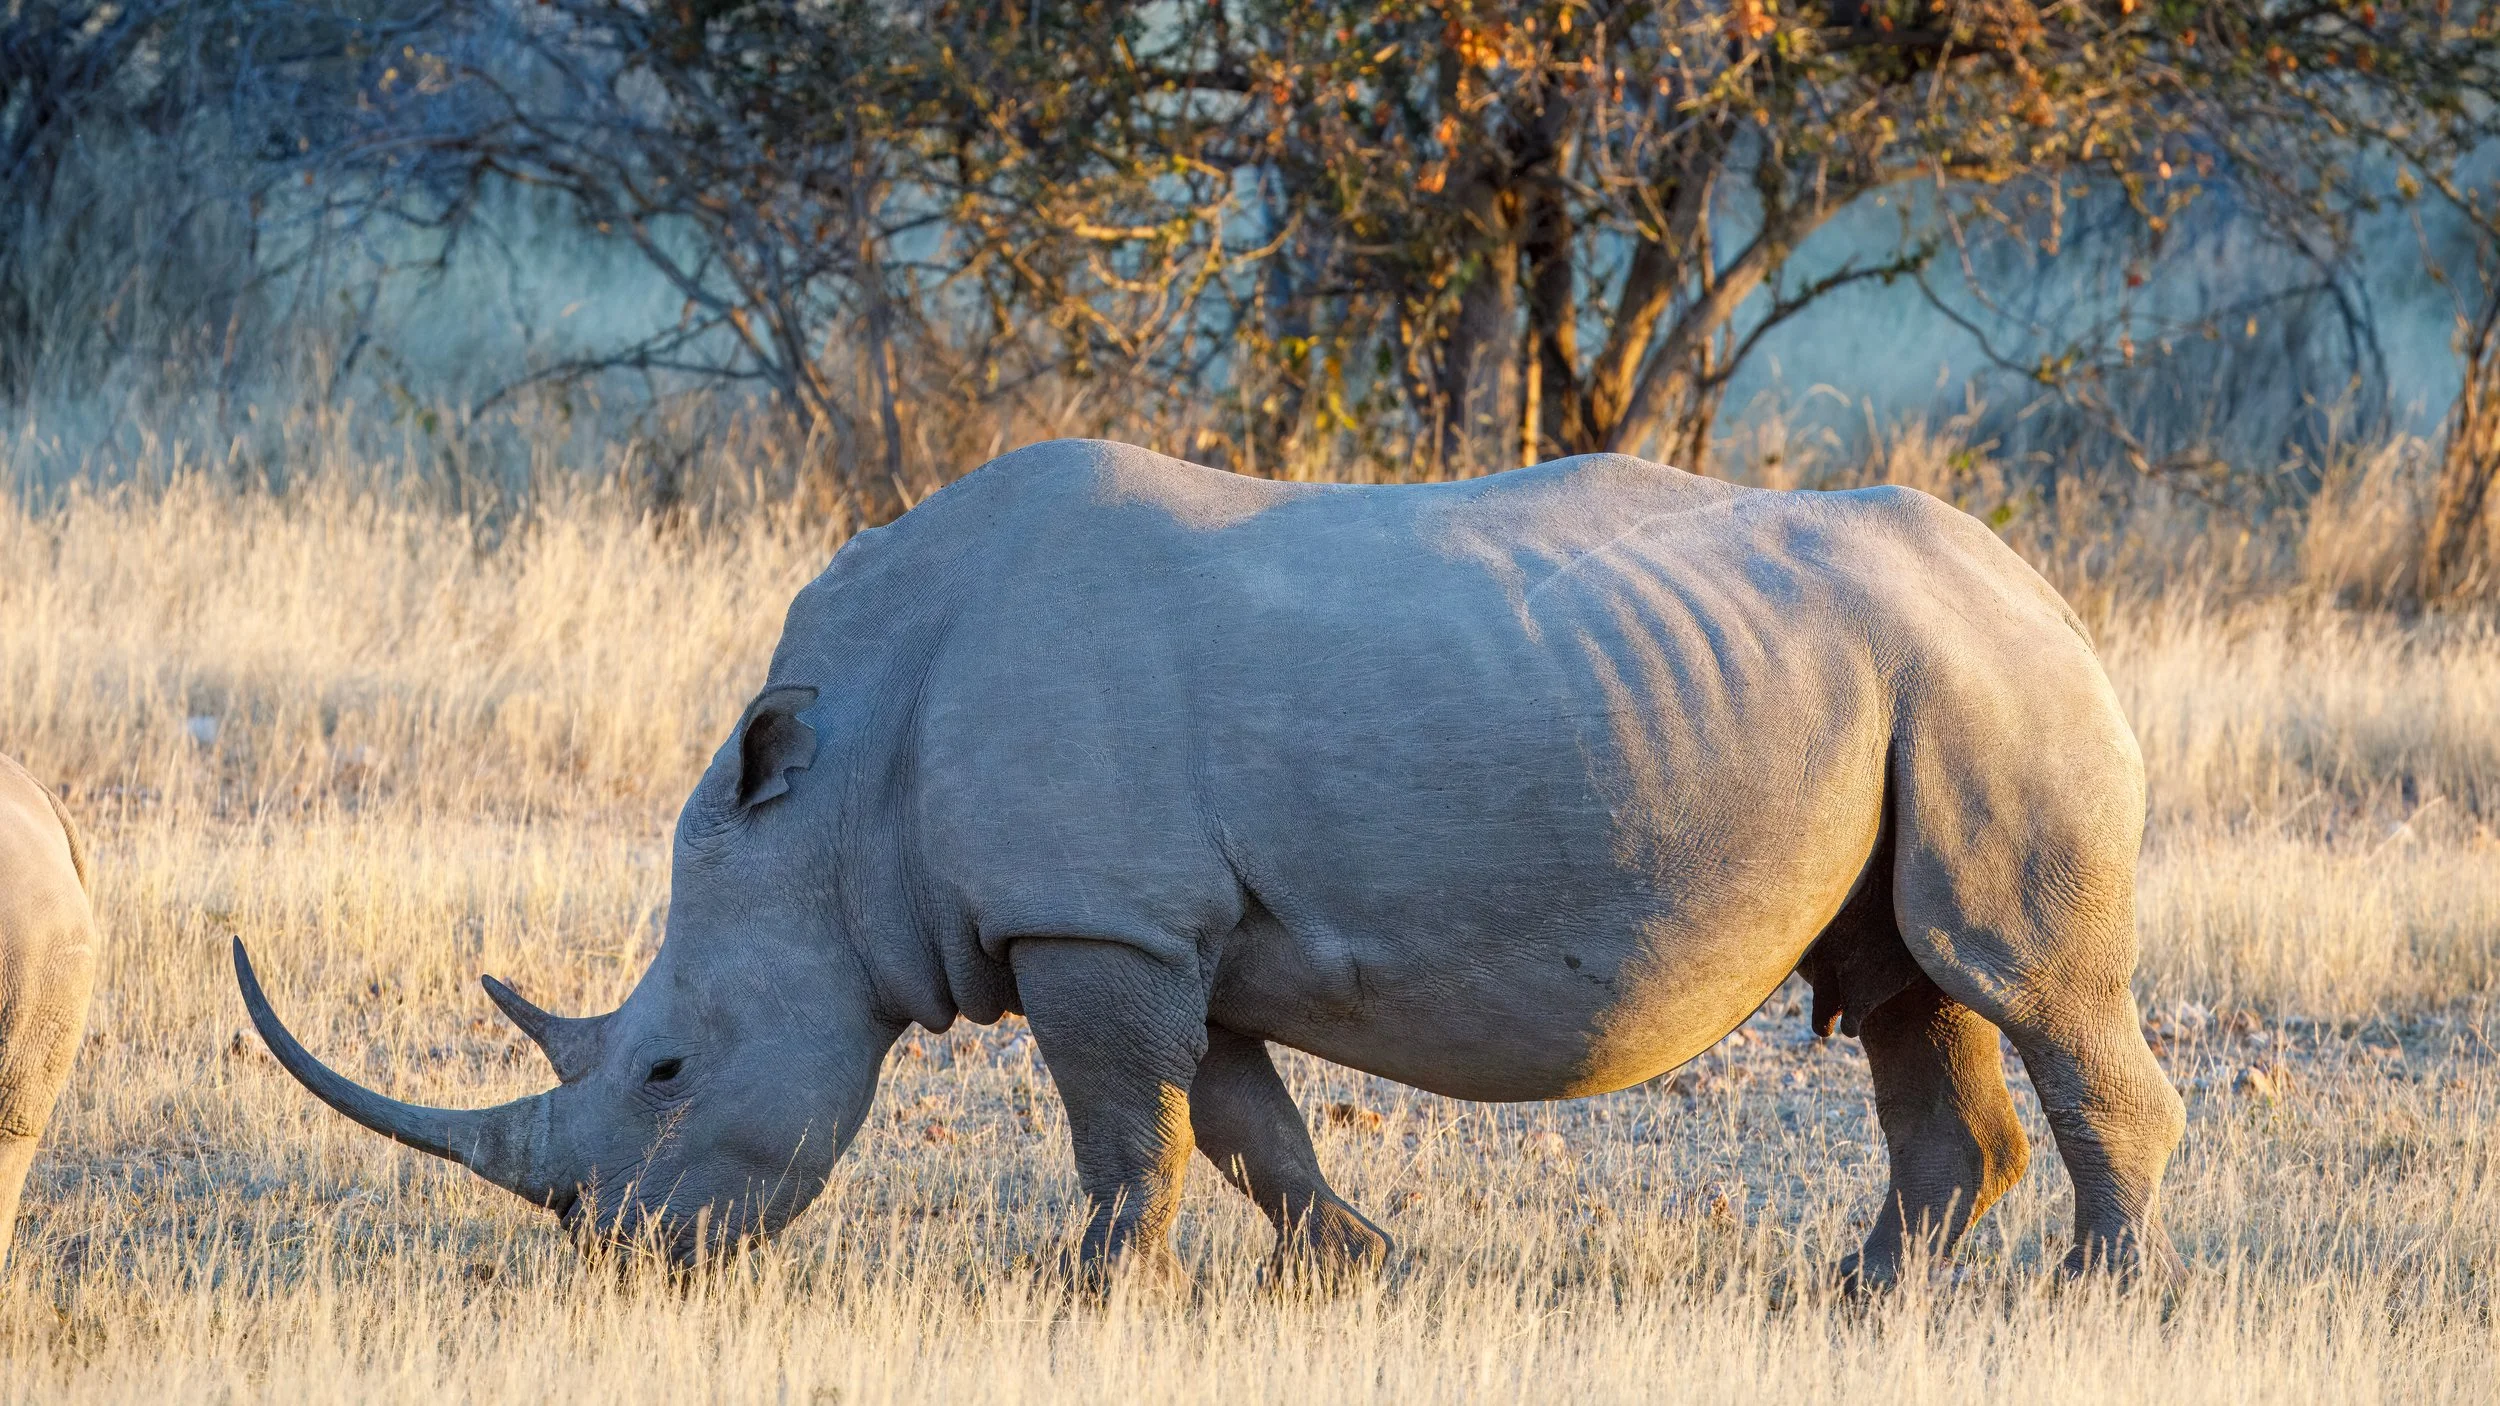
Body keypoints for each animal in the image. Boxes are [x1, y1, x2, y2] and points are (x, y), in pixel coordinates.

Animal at [237, 441, 2185, 1286]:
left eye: (659, 1068)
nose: (615, 1253)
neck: (839, 795)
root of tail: (2047, 585)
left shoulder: (1090, 921)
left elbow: (1129, 1126)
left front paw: (1086, 1292)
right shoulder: (1171, 927)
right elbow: (1247, 1123)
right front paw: (1369, 1272)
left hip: (1990, 682)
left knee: (2012, 976)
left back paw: (2089, 1293)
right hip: (1909, 682)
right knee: (1903, 985)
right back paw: (1862, 1296)